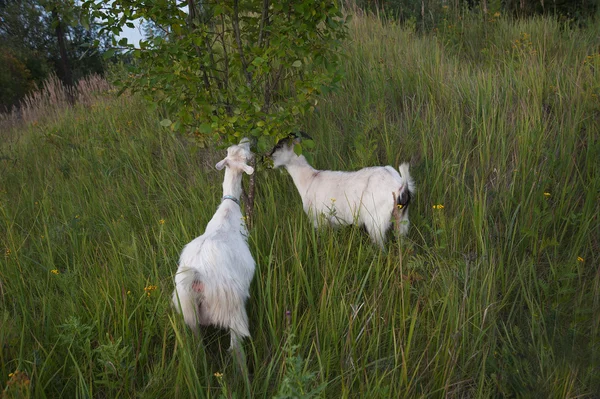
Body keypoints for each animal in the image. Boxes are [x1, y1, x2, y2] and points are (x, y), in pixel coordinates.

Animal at [173, 139, 258, 352]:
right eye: (245, 155)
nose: (247, 140)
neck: (229, 208)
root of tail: (197, 278)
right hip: (232, 310)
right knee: (235, 348)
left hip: (191, 315)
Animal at [270, 139, 414, 248]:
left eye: (278, 146)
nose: (266, 160)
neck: (309, 179)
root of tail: (400, 186)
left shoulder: (318, 220)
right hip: (402, 219)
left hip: (376, 221)